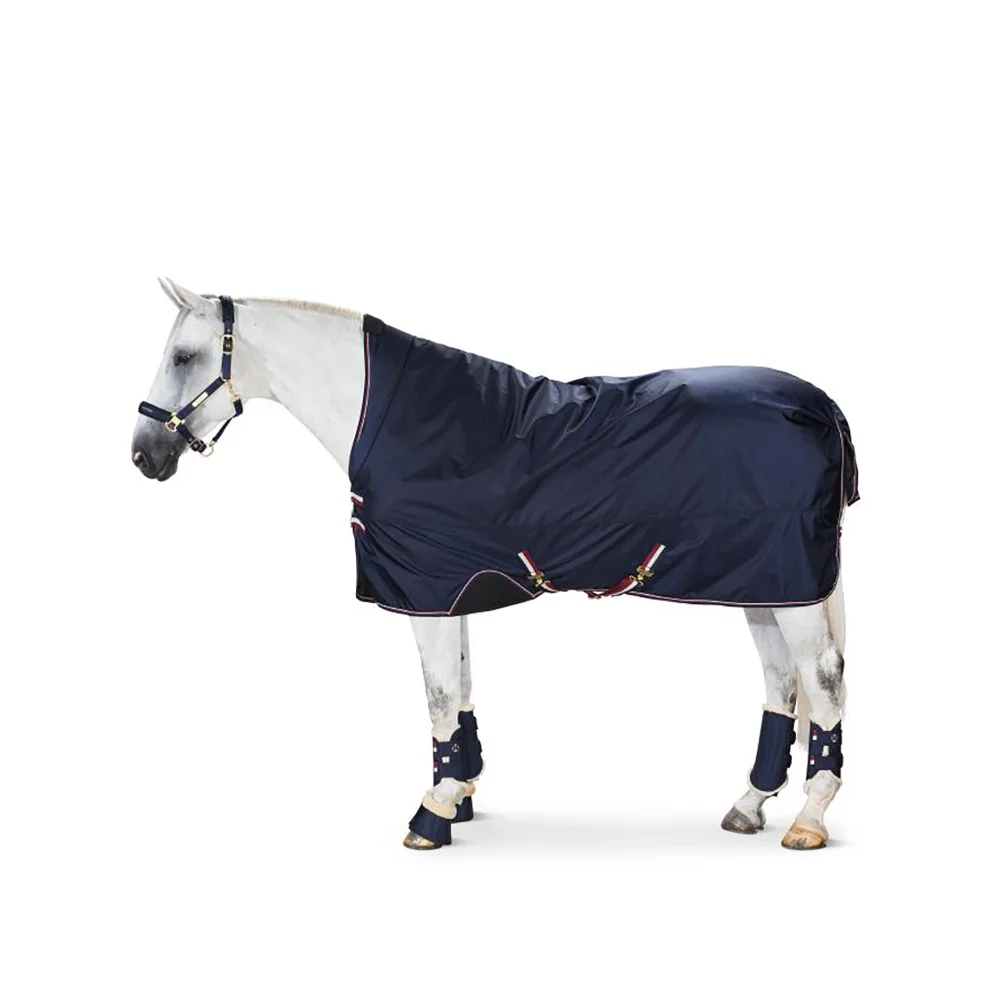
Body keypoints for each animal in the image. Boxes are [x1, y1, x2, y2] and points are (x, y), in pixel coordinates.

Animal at [132, 278, 858, 851]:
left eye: (184, 356)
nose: (144, 455)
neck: (393, 420)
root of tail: (818, 403)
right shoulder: (449, 590)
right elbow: (459, 693)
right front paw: (459, 795)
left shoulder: (425, 590)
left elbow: (438, 697)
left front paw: (431, 815)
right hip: (762, 583)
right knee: (781, 683)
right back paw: (749, 806)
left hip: (791, 589)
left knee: (822, 681)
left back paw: (809, 820)